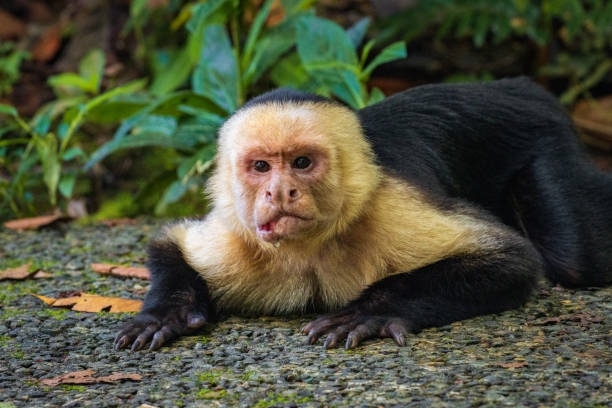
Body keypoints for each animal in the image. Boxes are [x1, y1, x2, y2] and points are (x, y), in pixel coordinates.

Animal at [115, 77, 612, 350]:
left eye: (302, 163)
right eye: (260, 167)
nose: (280, 191)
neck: (308, 249)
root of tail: (521, 88)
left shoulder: (388, 206)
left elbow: (511, 259)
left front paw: (369, 311)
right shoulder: (242, 238)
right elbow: (169, 244)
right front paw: (165, 314)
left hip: (545, 132)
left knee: (576, 260)